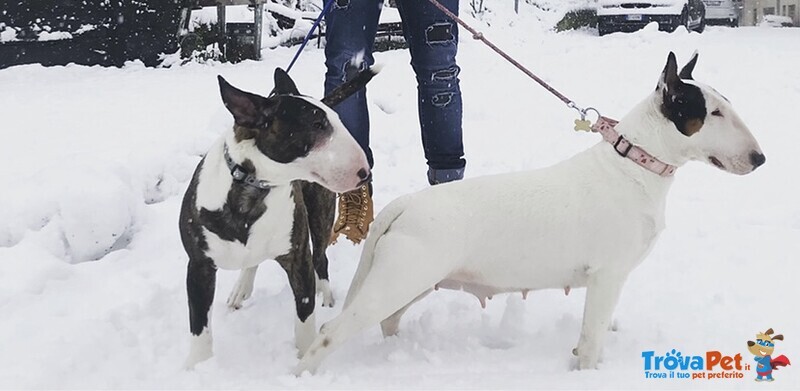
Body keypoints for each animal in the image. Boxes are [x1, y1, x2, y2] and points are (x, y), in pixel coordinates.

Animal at [180, 66, 380, 370]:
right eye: (317, 125)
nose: (364, 172)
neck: (252, 189)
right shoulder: (199, 266)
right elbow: (199, 325)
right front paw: (197, 366)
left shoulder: (298, 259)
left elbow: (305, 317)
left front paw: (305, 357)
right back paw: (241, 289)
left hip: (319, 216)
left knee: (320, 258)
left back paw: (326, 293)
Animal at [292, 52, 764, 374]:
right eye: (712, 112)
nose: (759, 159)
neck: (635, 164)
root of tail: (404, 202)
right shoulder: (607, 274)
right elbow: (591, 335)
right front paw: (586, 370)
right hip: (401, 277)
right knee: (333, 333)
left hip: (411, 279)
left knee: (387, 319)